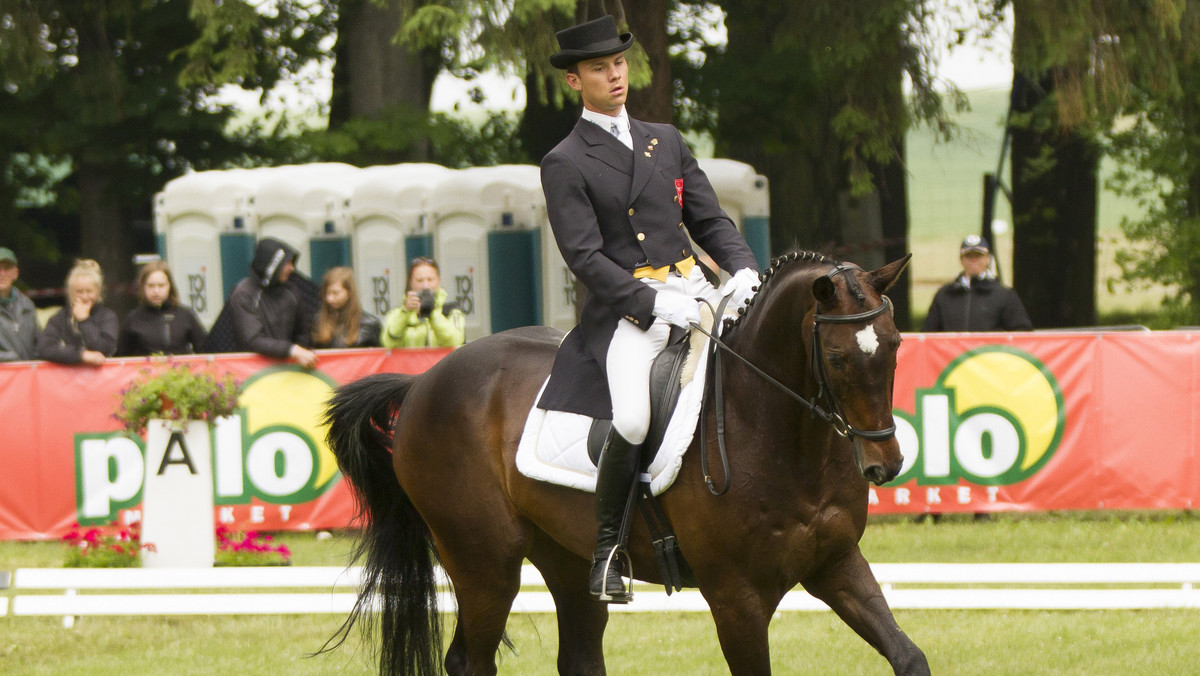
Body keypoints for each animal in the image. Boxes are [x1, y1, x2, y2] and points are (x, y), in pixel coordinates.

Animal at [326, 250, 926, 672]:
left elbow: (909, 656)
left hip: (566, 560)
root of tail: (423, 381)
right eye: (837, 358)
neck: (775, 429)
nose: (886, 464)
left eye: (896, 343)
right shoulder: (736, 596)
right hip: (484, 564)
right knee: (471, 661)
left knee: (577, 657)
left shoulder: (835, 563)